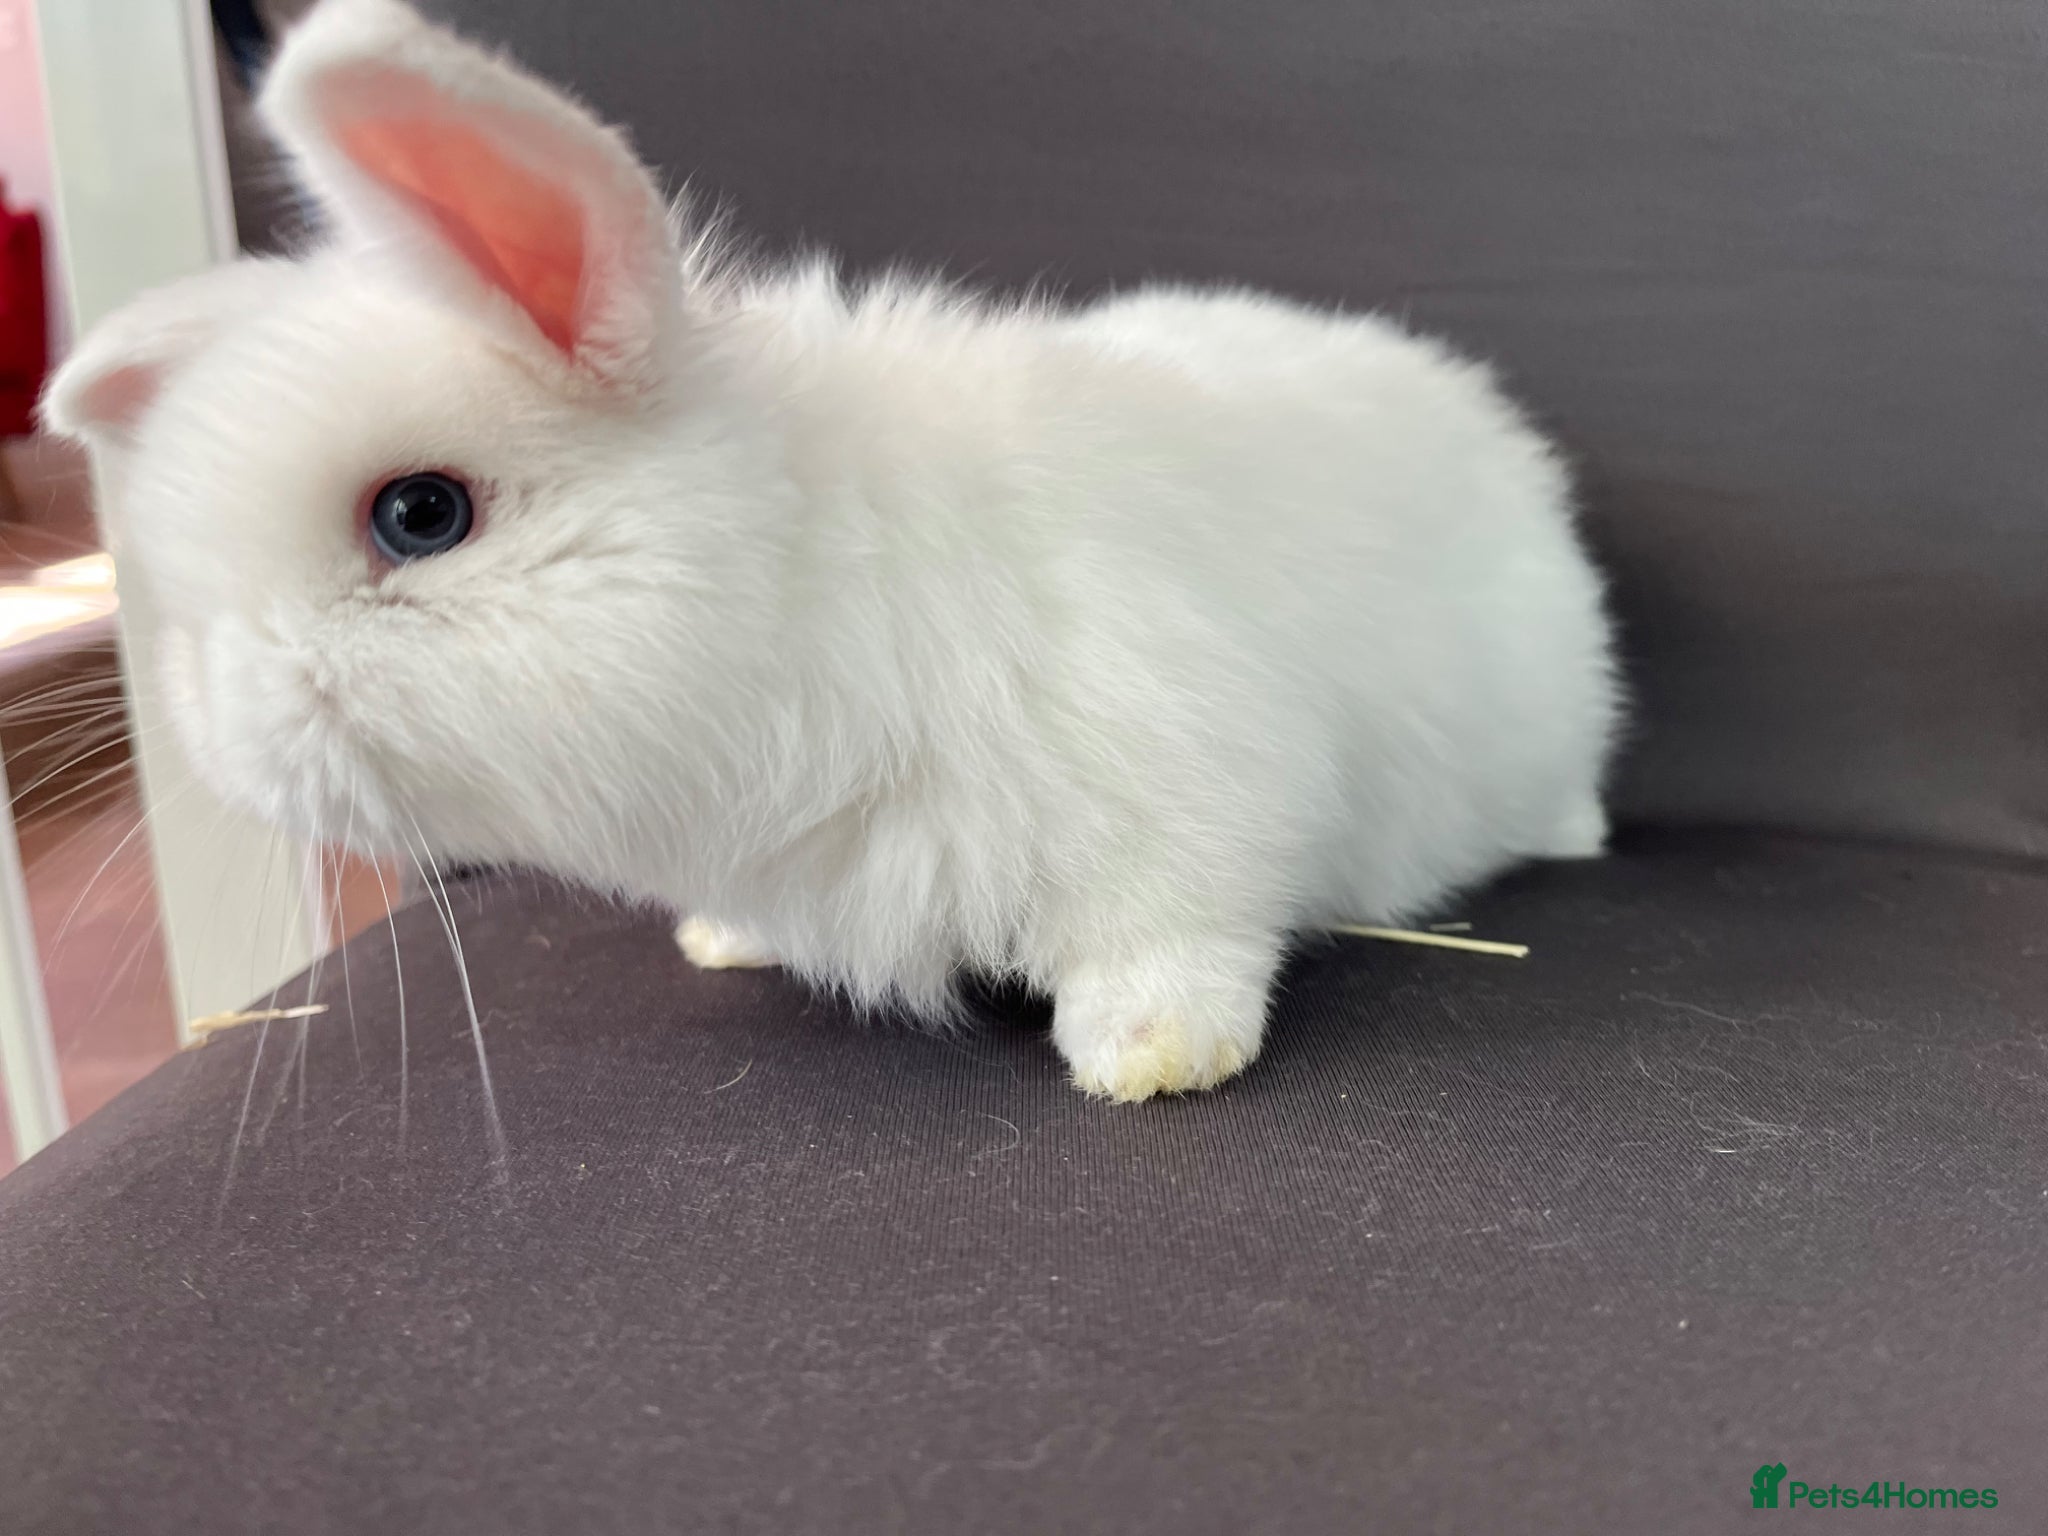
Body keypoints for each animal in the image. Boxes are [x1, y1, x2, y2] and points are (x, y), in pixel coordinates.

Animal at [44, 0, 1619, 1101]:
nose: (223, 738)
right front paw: (724, 941)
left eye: (419, 515)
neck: (802, 589)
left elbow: (1175, 942)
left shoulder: (1189, 793)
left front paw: (1148, 1061)